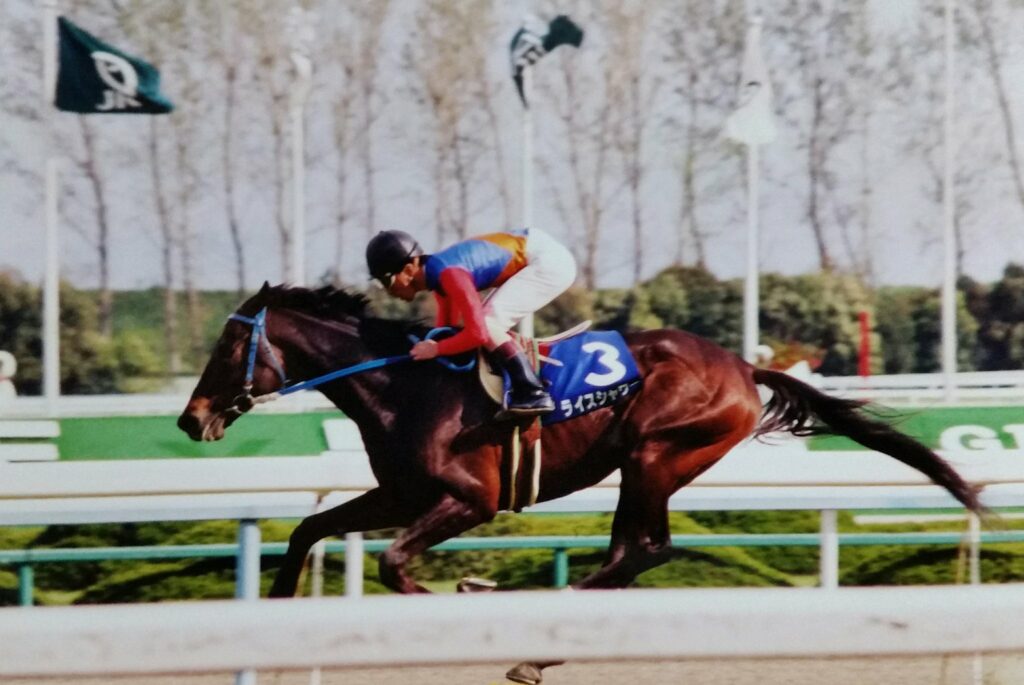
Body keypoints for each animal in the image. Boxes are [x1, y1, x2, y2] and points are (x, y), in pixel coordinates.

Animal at [178, 283, 983, 685]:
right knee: (636, 551)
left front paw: (471, 602)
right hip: (648, 463)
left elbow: (395, 564)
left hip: (654, 452)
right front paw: (274, 622)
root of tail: (742, 366)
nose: (190, 418)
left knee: (643, 550)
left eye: (229, 343)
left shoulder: (466, 500)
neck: (401, 384)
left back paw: (532, 647)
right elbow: (309, 528)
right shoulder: (401, 493)